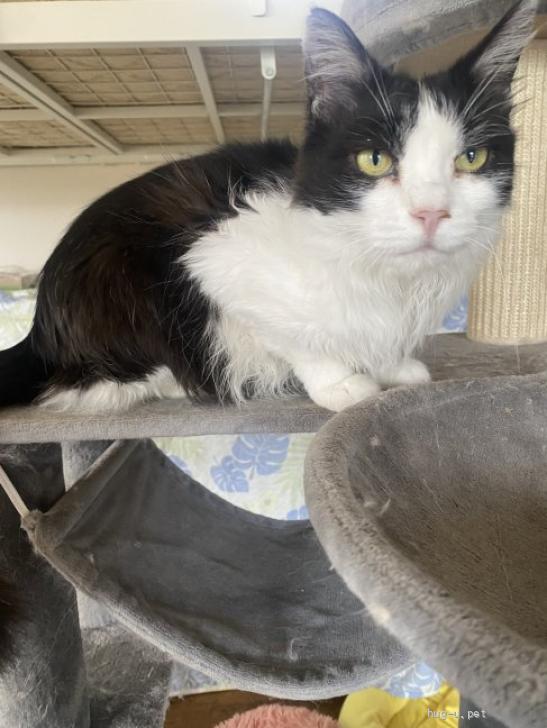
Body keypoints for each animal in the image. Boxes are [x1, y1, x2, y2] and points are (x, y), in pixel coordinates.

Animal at [0, 0, 537, 661]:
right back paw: (175, 382)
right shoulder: (216, 259)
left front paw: (393, 366)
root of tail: (41, 324)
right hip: (124, 280)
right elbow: (295, 335)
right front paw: (342, 382)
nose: (431, 212)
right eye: (375, 160)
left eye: (471, 159)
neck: (384, 275)